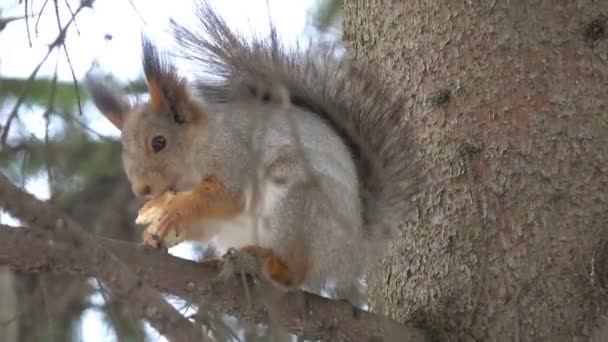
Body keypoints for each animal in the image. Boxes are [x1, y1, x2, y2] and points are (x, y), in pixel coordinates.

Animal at [83, 0, 420, 294]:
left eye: (159, 142)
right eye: (124, 151)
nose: (141, 189)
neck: (197, 152)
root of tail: (354, 250)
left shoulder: (234, 155)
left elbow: (227, 195)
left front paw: (175, 209)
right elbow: (203, 223)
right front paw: (154, 233)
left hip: (298, 205)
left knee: (296, 275)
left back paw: (273, 265)